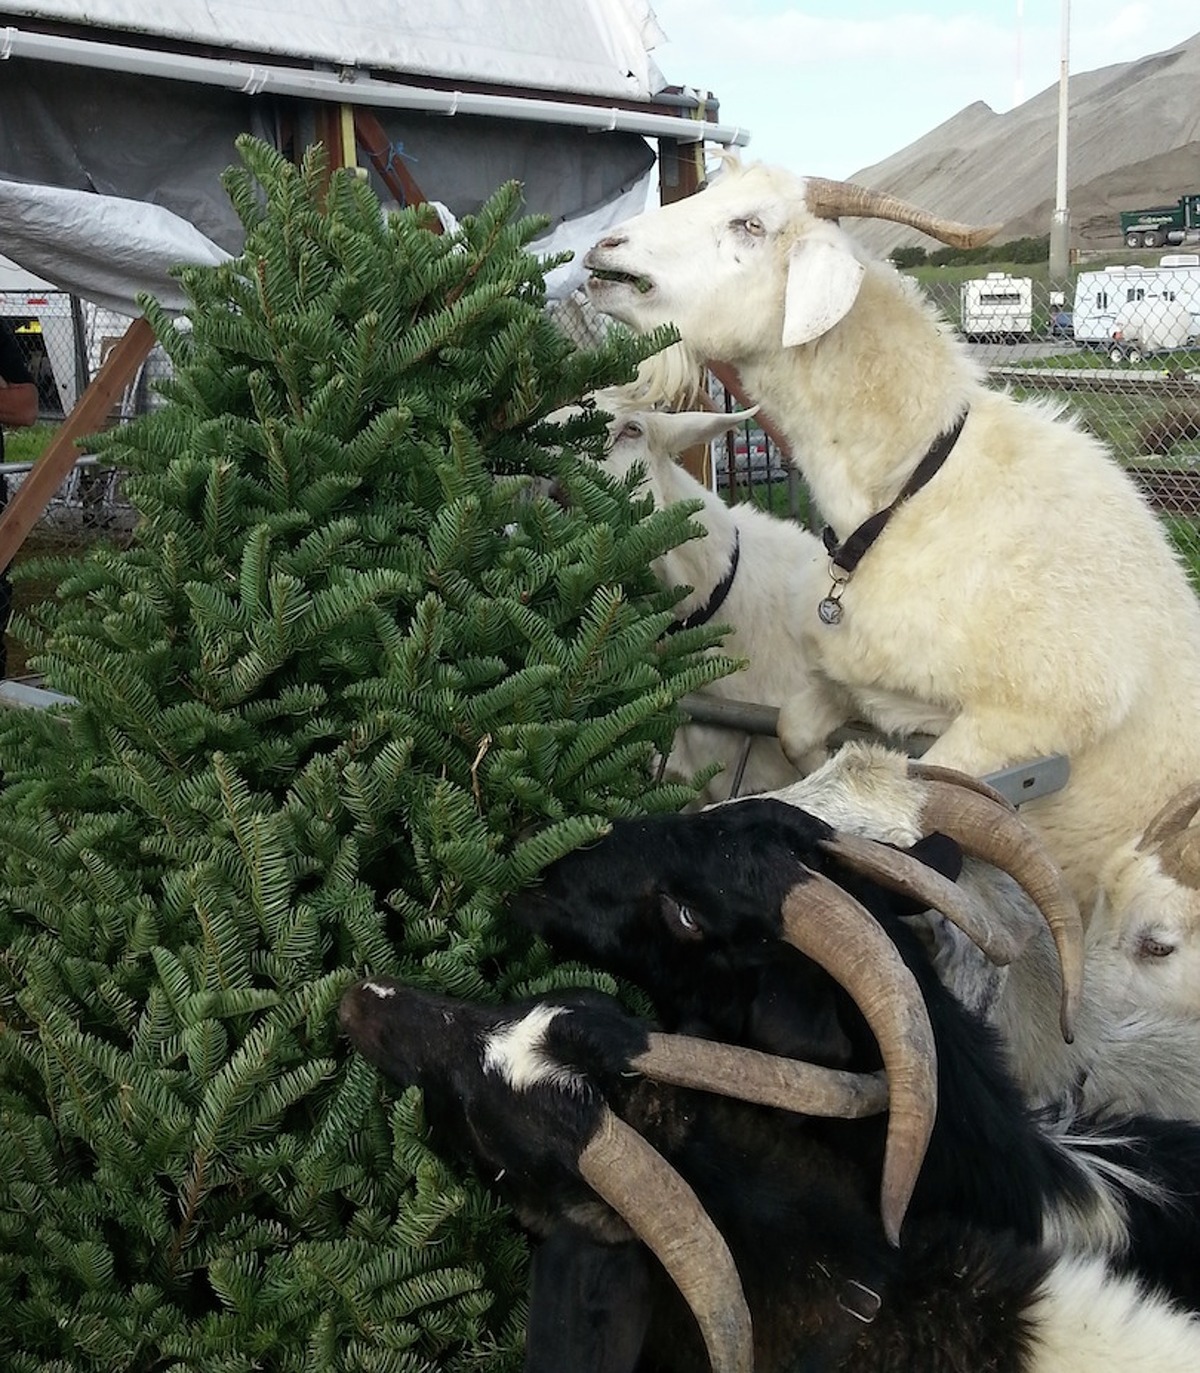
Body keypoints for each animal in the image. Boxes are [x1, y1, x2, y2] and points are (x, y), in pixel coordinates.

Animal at [582, 159, 1200, 938]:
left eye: (751, 224)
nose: (605, 248)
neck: (916, 490)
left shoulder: (1027, 721)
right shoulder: (852, 678)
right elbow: (793, 732)